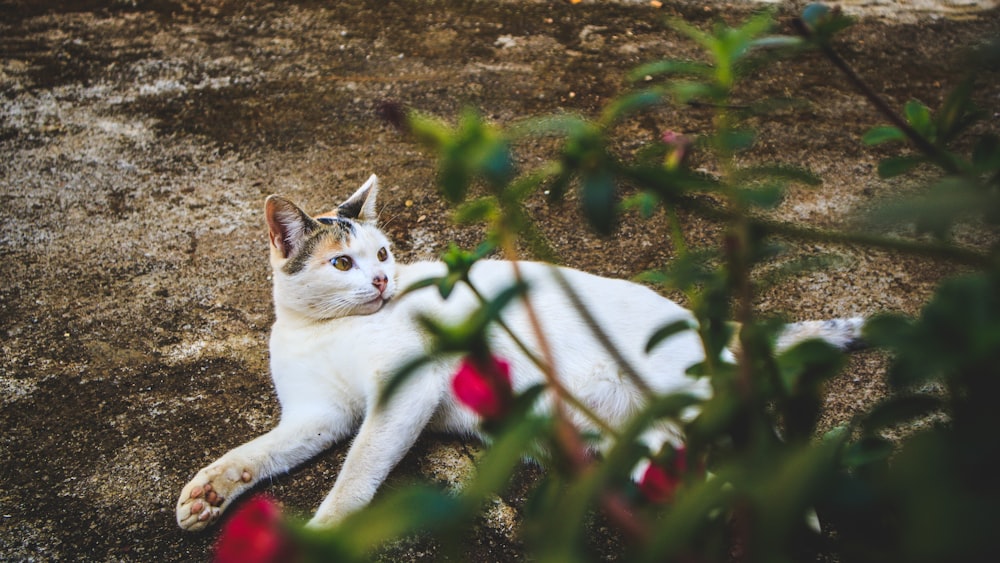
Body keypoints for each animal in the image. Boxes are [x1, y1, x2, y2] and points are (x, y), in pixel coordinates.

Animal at [176, 176, 864, 532]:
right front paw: (210, 491)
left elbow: (358, 469)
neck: (320, 330)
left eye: (384, 255)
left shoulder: (406, 389)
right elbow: (258, 452)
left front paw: (326, 529)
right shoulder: (319, 414)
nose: (382, 281)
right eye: (343, 263)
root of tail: (699, 323)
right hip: (647, 443)